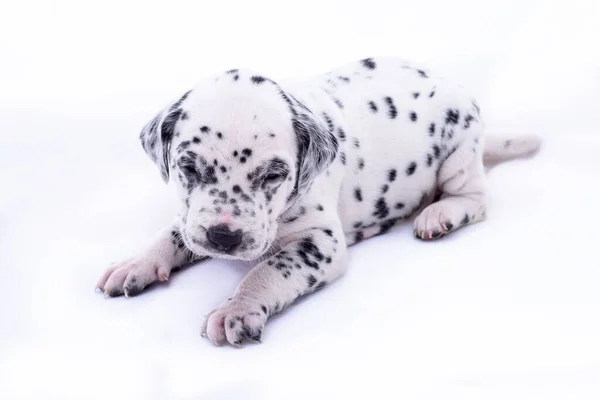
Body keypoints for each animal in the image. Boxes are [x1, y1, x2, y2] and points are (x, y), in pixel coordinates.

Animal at [97, 57, 540, 346]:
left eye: (273, 175)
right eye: (188, 167)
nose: (224, 237)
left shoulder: (321, 242)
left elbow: (268, 269)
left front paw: (237, 308)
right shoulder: (192, 218)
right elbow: (173, 233)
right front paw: (137, 263)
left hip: (459, 152)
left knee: (475, 197)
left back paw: (440, 213)